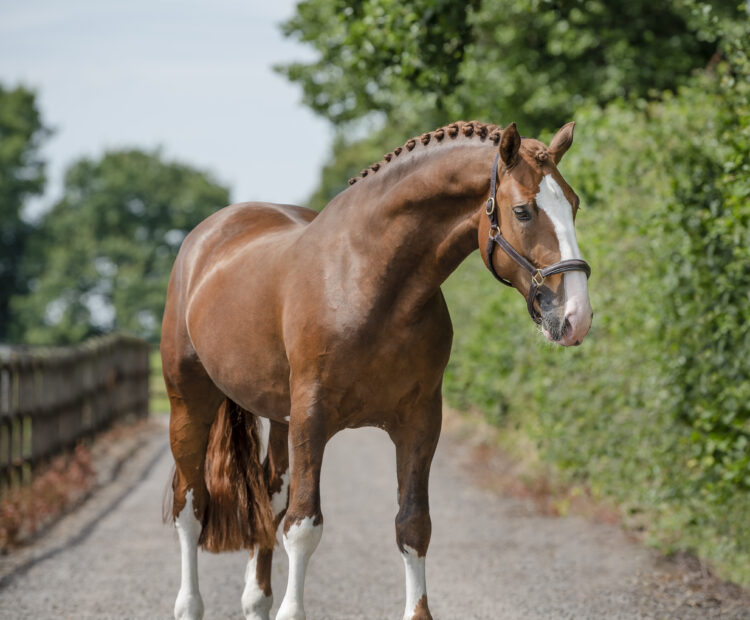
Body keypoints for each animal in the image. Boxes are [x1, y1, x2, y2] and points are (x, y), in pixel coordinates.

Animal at [161, 120, 593, 620]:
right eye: (523, 211)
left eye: (574, 204)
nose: (575, 317)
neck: (365, 279)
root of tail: (205, 238)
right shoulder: (312, 418)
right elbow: (303, 527)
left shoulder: (419, 422)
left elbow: (413, 525)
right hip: (189, 405)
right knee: (191, 506)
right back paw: (189, 604)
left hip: (277, 419)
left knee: (269, 499)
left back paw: (256, 599)